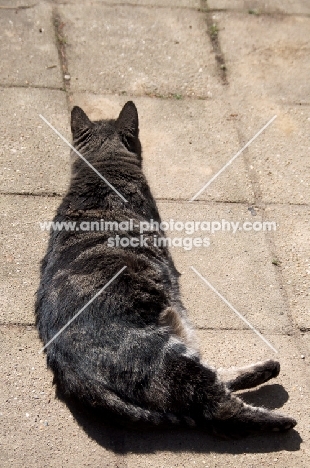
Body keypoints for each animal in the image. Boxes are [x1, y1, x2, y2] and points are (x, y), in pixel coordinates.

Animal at [35, 102, 296, 438]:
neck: (102, 170)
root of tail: (72, 375)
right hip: (165, 359)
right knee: (218, 407)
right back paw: (281, 419)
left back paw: (266, 369)